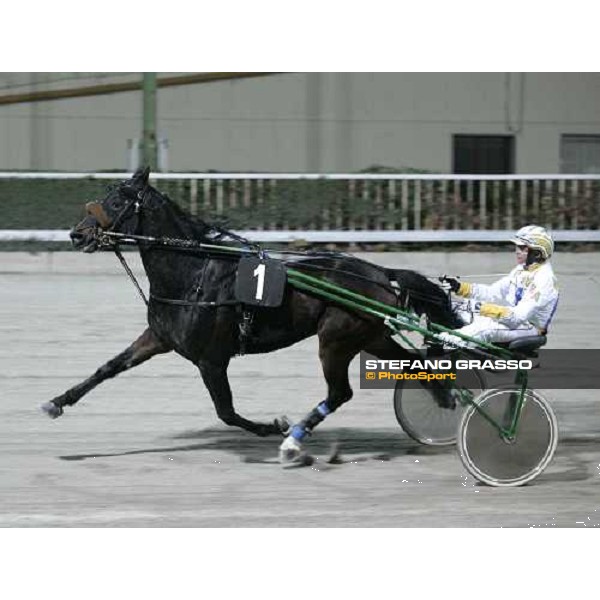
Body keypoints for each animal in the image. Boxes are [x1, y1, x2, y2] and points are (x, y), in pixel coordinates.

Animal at [42, 166, 462, 462]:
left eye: (117, 202)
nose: (77, 234)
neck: (193, 272)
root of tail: (380, 273)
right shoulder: (158, 338)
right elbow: (108, 368)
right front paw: (57, 402)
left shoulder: (211, 359)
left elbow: (226, 412)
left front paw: (273, 426)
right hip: (371, 335)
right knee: (418, 364)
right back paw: (444, 400)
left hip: (336, 339)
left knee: (340, 392)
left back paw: (293, 439)